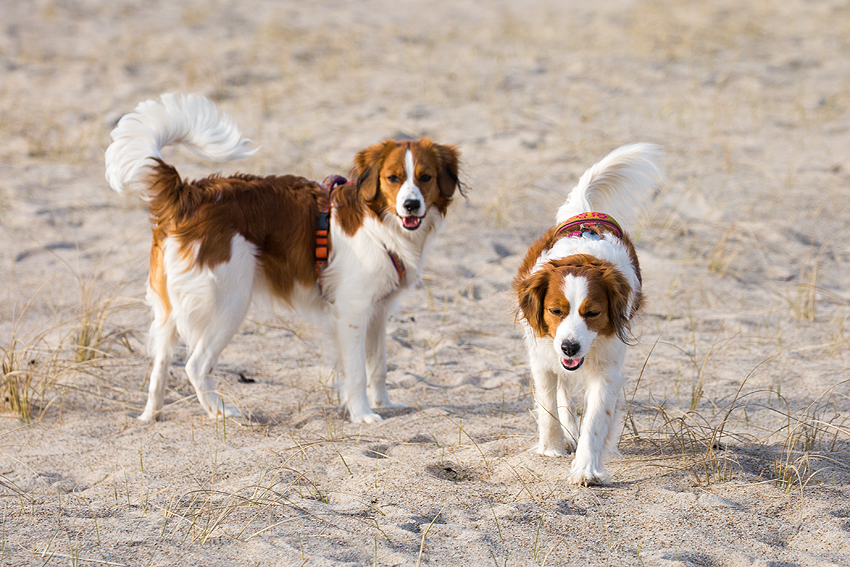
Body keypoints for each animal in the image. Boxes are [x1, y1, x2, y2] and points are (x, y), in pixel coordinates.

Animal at [107, 94, 464, 422]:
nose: (411, 206)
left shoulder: (378, 311)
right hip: (228, 303)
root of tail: (187, 194)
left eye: (425, 177)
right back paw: (221, 412)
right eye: (393, 178)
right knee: (196, 366)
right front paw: (363, 415)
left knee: (160, 362)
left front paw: (386, 405)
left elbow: (378, 366)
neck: (380, 224)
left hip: (170, 306)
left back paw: (150, 416)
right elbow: (357, 371)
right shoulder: (352, 312)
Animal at [510, 144, 664, 486]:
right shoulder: (543, 357)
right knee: (562, 392)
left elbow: (596, 420)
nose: (570, 347)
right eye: (556, 310)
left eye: (592, 313)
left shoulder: (607, 370)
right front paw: (552, 448)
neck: (581, 257)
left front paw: (586, 468)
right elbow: (548, 406)